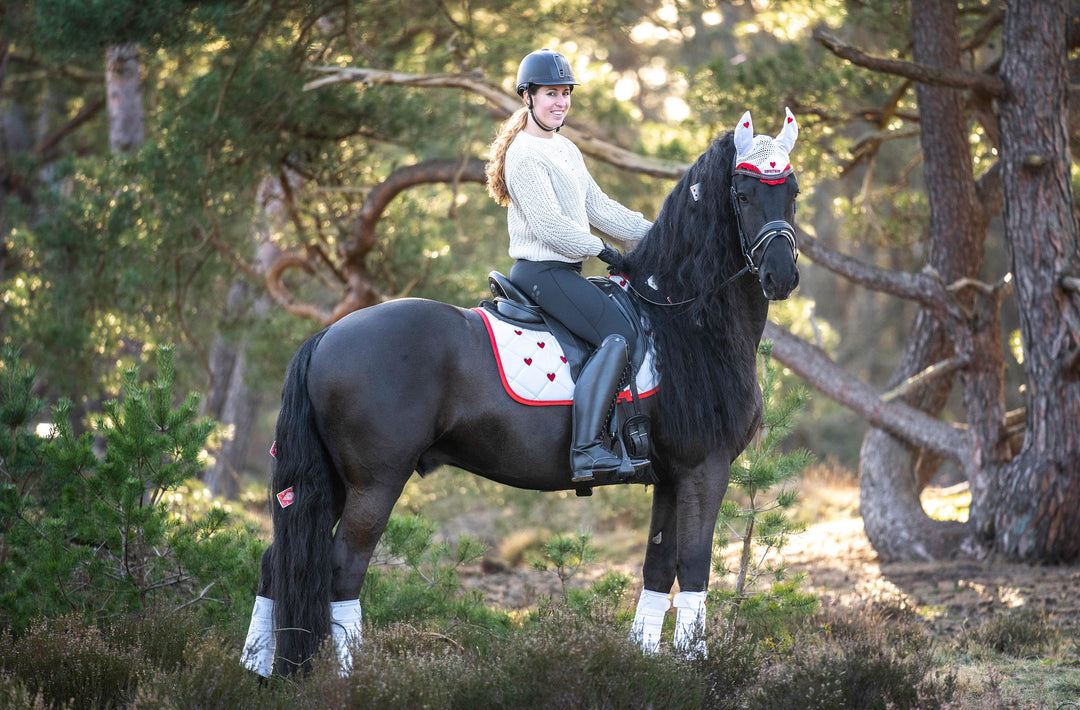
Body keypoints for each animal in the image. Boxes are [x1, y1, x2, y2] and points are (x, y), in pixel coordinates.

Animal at [243, 108, 803, 674]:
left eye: (792, 191)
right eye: (743, 193)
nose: (781, 276)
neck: (681, 318)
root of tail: (326, 335)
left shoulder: (670, 475)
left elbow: (657, 568)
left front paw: (643, 666)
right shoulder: (704, 468)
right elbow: (693, 568)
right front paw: (695, 668)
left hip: (333, 482)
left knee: (276, 565)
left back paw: (260, 673)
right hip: (375, 482)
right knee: (343, 572)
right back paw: (350, 679)